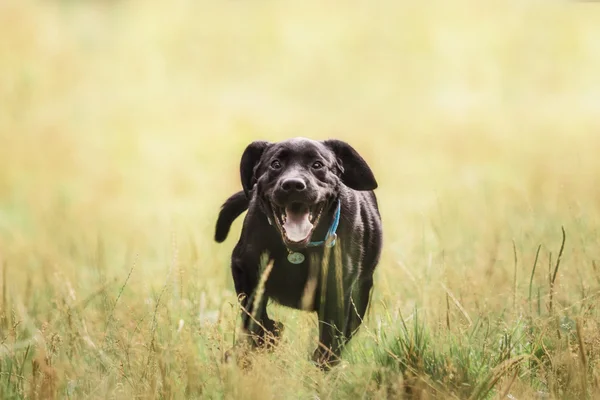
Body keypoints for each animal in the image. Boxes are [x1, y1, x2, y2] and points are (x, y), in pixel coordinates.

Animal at [216, 138, 382, 368]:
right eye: (276, 164)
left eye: (317, 165)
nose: (293, 184)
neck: (298, 251)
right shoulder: (243, 268)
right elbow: (253, 314)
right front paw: (270, 335)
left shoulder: (338, 290)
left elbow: (331, 338)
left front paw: (320, 363)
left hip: (362, 292)